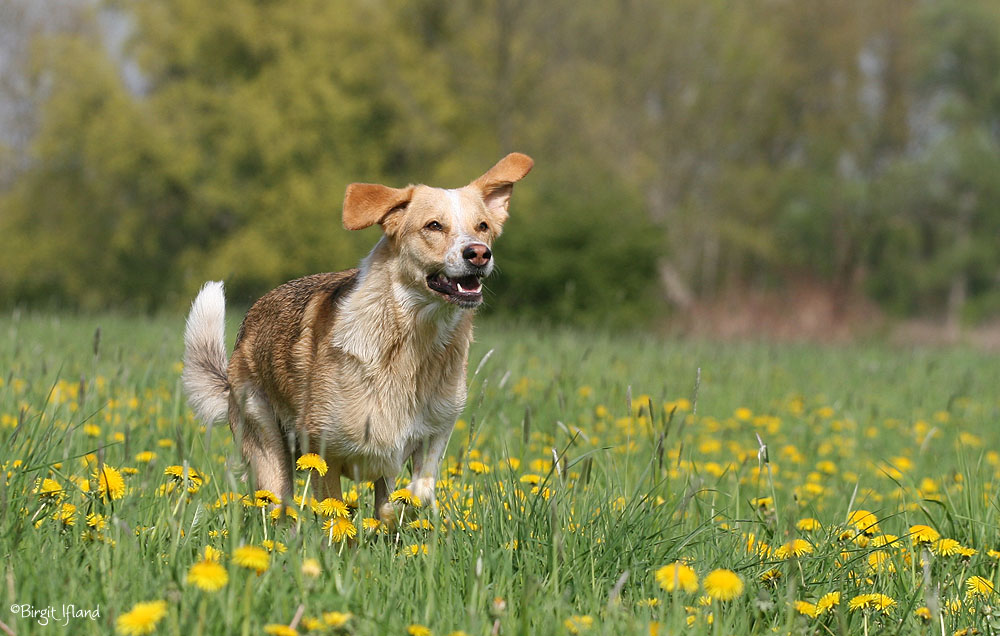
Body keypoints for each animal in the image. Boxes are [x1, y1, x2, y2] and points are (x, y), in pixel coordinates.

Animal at [184, 153, 536, 520]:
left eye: (482, 226)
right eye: (434, 226)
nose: (479, 253)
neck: (412, 339)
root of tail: (247, 326)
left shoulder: (434, 434)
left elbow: (416, 493)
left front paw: (401, 512)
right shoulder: (322, 451)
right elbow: (336, 513)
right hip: (268, 452)